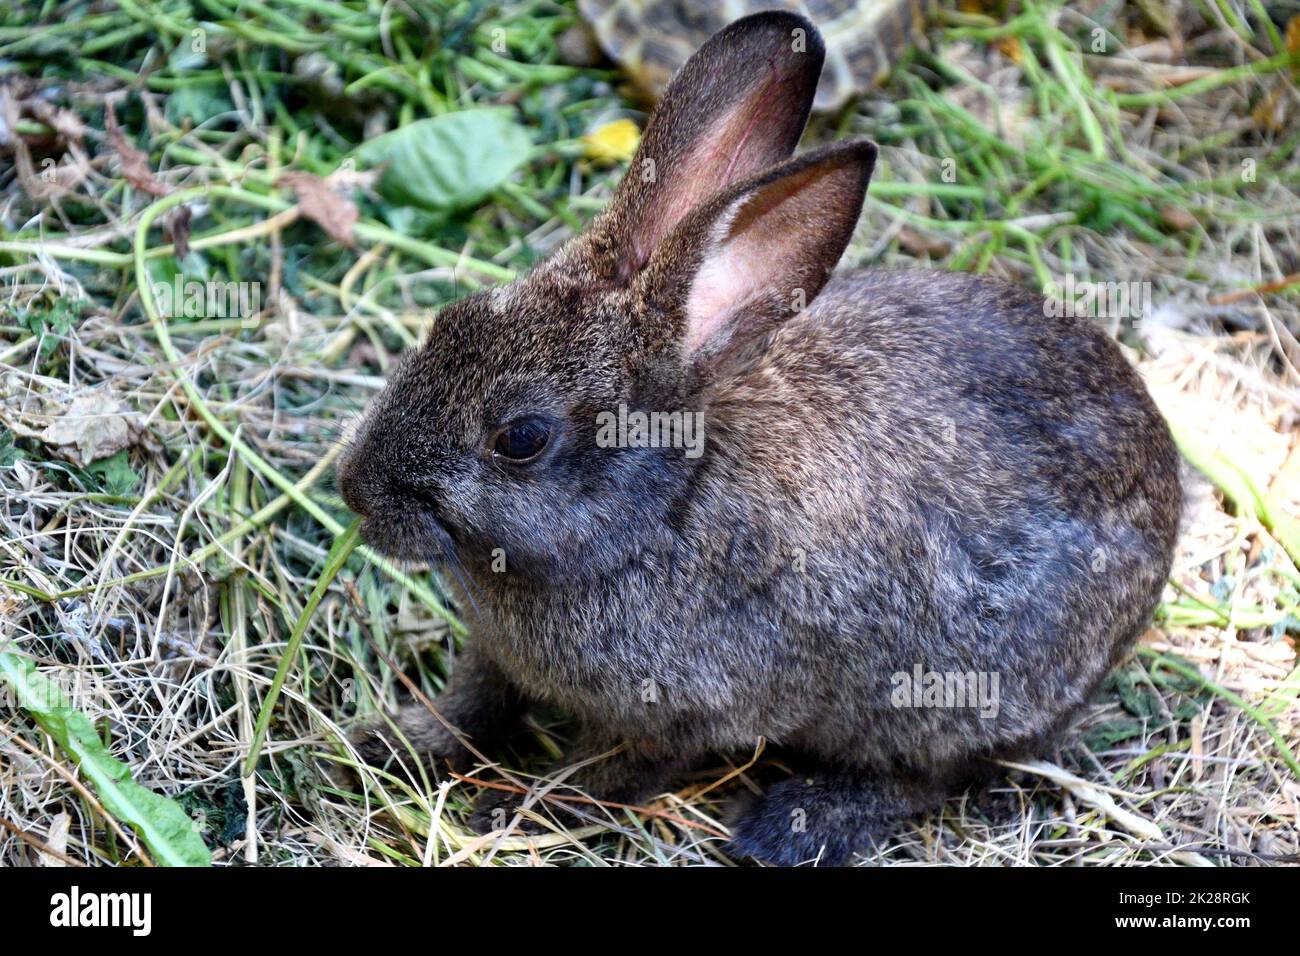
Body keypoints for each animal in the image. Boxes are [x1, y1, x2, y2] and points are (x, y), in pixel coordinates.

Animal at [337, 10, 1182, 865]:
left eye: (522, 438)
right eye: (448, 322)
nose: (355, 490)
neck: (655, 508)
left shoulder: (682, 715)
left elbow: (607, 776)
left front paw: (515, 814)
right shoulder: (496, 657)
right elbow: (474, 704)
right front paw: (389, 742)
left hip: (959, 695)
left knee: (932, 774)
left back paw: (791, 823)